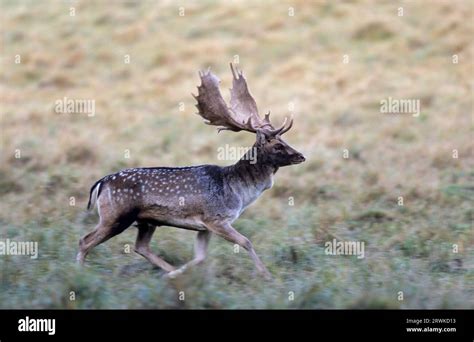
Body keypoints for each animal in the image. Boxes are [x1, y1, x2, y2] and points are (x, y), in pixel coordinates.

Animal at [76, 63, 306, 278]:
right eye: (277, 145)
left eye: (284, 140)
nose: (301, 156)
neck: (239, 193)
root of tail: (101, 183)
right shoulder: (216, 218)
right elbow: (246, 241)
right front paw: (266, 275)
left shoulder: (204, 226)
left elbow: (201, 257)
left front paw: (178, 274)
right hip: (116, 215)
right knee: (85, 240)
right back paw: (80, 274)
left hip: (146, 221)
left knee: (140, 246)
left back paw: (169, 271)